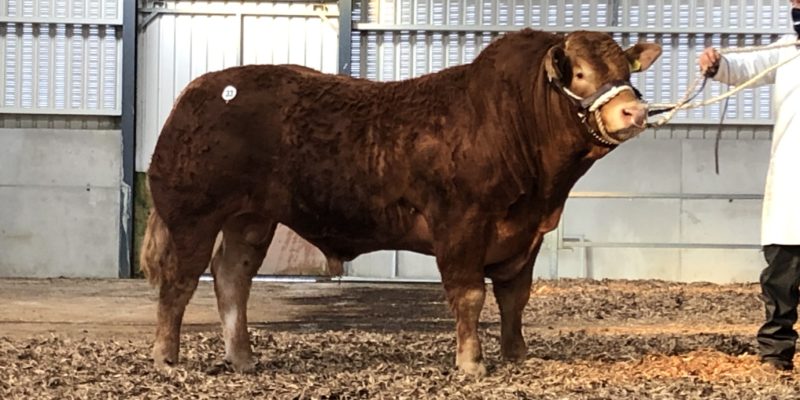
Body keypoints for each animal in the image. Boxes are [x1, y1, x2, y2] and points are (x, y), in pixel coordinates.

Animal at [140, 28, 662, 377]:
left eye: (625, 71)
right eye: (579, 73)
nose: (634, 111)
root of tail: (197, 92)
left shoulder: (526, 234)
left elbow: (515, 296)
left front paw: (516, 354)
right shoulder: (461, 224)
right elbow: (470, 295)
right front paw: (472, 363)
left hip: (250, 218)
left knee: (233, 277)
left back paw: (244, 357)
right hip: (193, 214)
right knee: (179, 280)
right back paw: (167, 358)